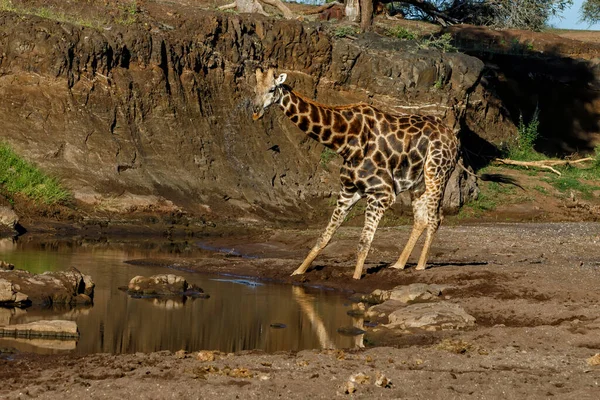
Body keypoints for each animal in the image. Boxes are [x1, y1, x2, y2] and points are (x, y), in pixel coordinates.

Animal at [251, 69, 458, 280]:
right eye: (254, 89)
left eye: (272, 89)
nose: (256, 111)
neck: (345, 142)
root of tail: (453, 137)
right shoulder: (348, 191)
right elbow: (324, 237)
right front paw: (298, 272)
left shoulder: (381, 194)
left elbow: (363, 243)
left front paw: (356, 279)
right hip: (418, 182)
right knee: (421, 219)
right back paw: (398, 265)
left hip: (437, 173)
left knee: (435, 219)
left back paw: (421, 267)